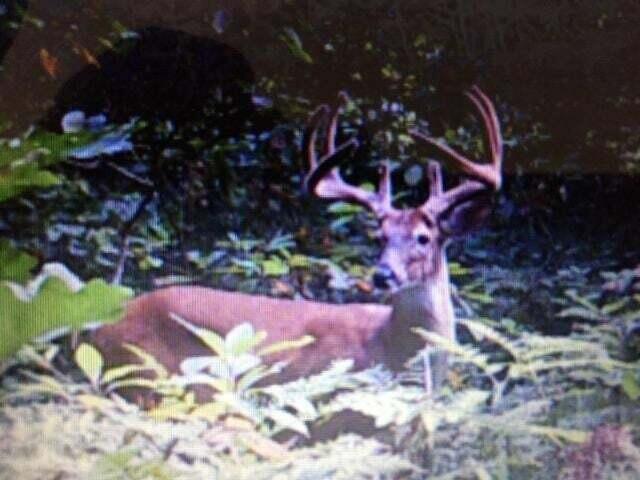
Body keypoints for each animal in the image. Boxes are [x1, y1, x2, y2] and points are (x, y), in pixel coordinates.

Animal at [90, 86, 503, 399]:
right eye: (380, 237)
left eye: (423, 237)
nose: (383, 275)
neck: (390, 347)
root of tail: (96, 330)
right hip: (146, 378)